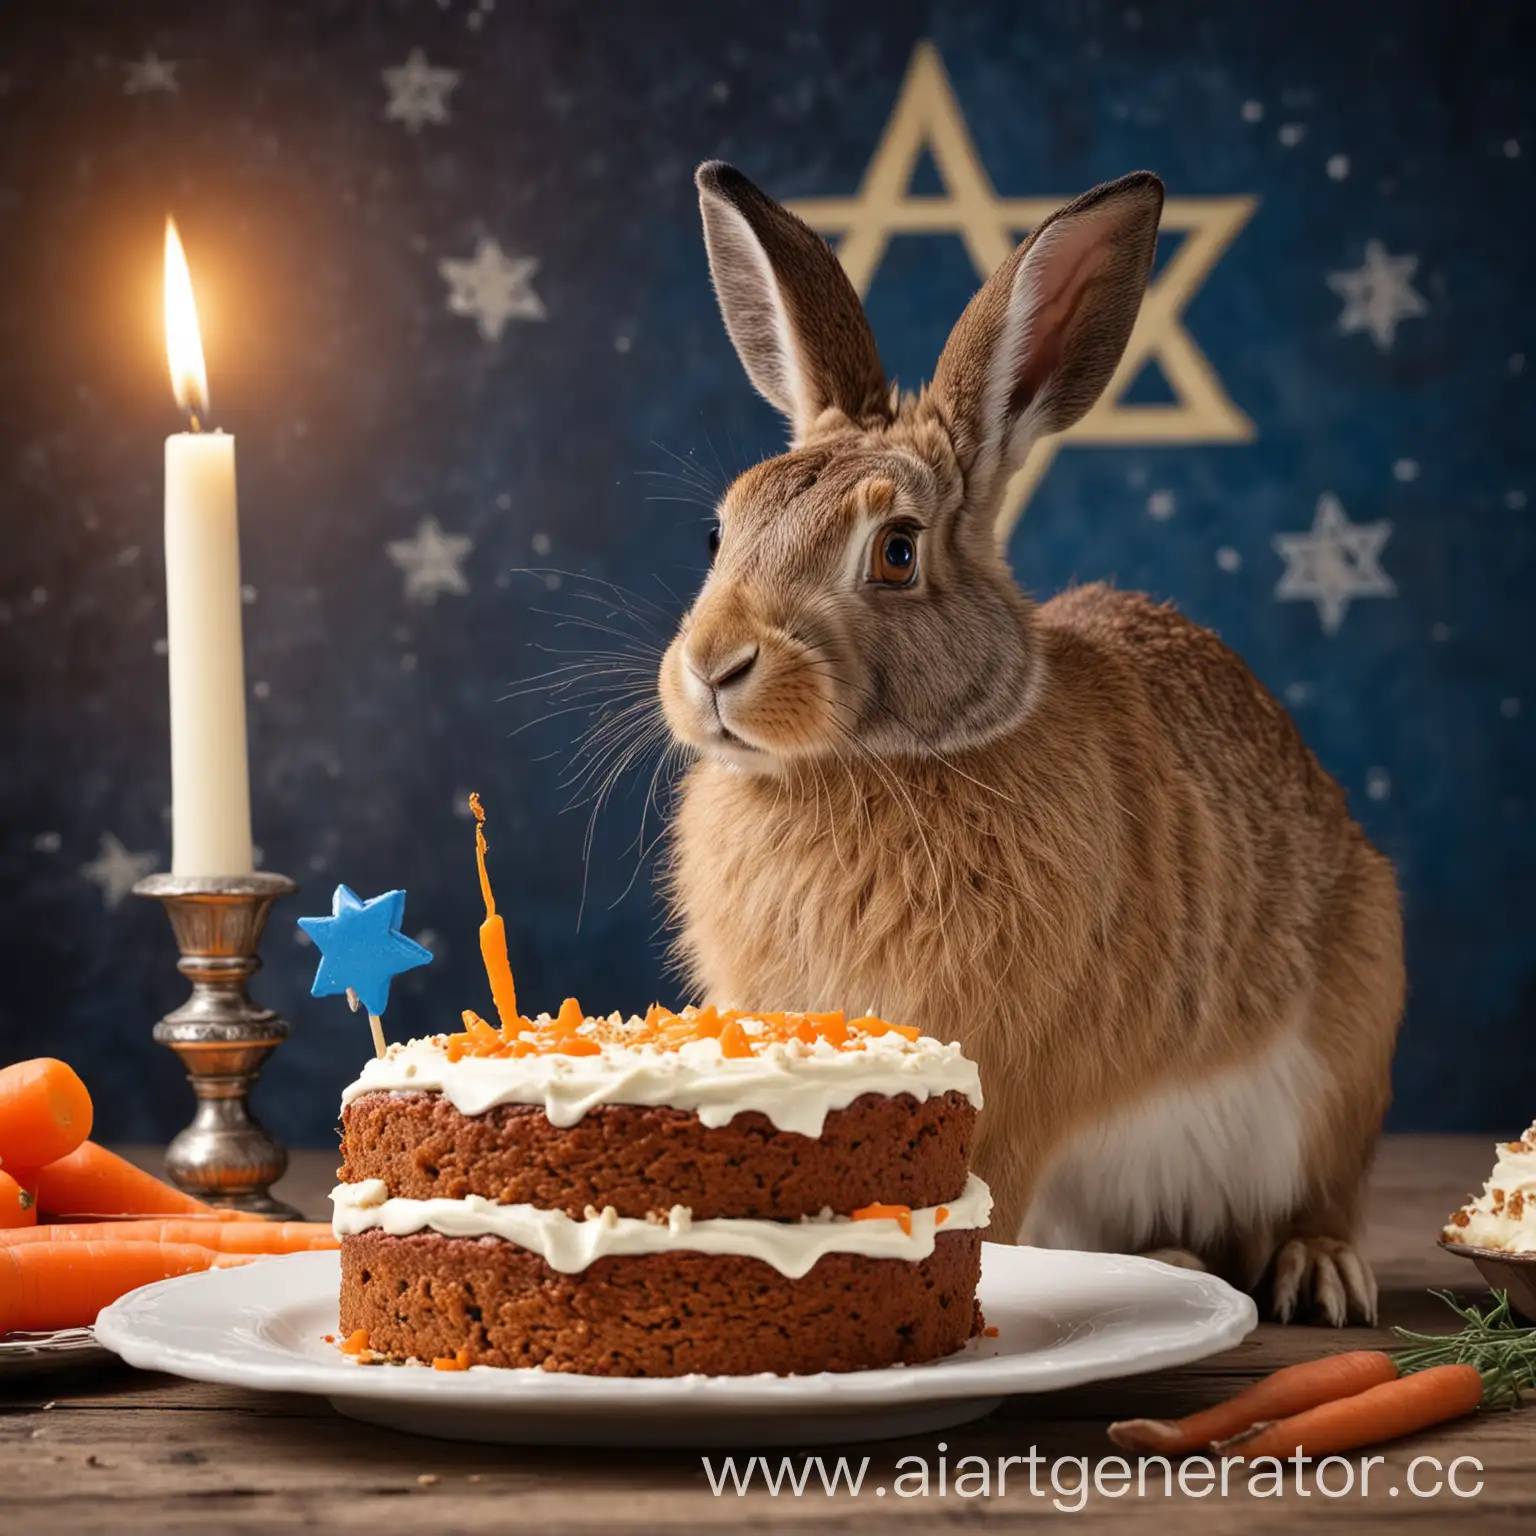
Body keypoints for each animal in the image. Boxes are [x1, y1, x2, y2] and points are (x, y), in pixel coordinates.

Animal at [657, 162, 1406, 1327]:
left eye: (898, 553)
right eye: (718, 532)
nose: (716, 668)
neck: (881, 762)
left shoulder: (1009, 1079)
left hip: (1350, 1038)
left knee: (1314, 1198)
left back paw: (1313, 1274)